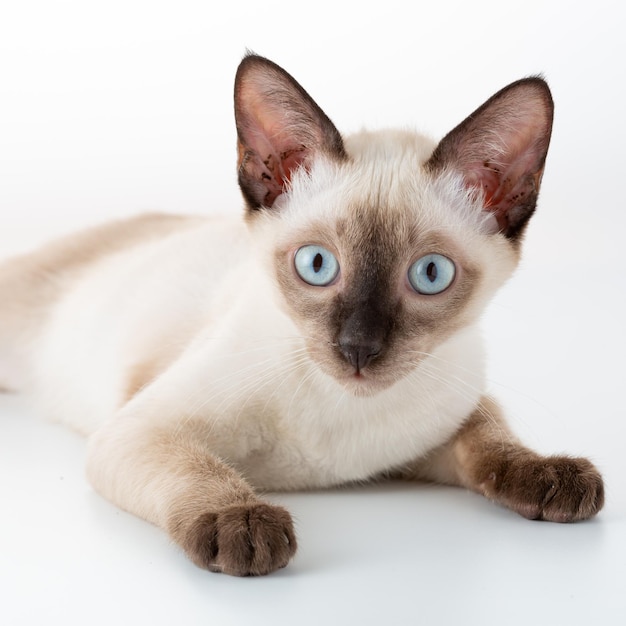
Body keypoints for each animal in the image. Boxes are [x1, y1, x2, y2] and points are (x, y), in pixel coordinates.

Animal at [1, 53, 604, 576]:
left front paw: (551, 475)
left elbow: (493, 442)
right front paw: (242, 522)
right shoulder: (143, 428)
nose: (358, 348)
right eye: (317, 265)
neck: (345, 412)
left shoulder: (446, 422)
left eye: (430, 275)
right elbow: (200, 469)